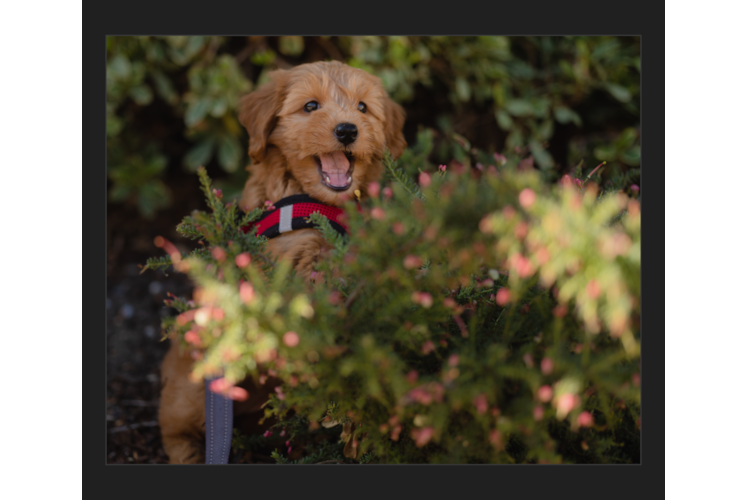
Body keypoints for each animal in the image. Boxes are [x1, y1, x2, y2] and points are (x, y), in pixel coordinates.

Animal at [156, 62, 404, 464]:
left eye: (363, 108)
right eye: (310, 106)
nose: (347, 130)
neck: (317, 206)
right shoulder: (290, 270)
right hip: (194, 381)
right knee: (176, 426)